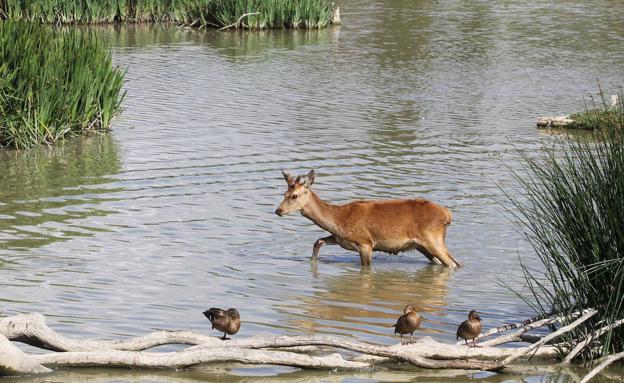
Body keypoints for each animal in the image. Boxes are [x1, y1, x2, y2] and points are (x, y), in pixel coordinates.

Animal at [276, 170, 460, 268]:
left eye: (294, 195)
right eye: (284, 193)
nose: (278, 210)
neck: (338, 220)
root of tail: (447, 214)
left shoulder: (365, 243)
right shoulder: (340, 239)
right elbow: (318, 242)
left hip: (433, 239)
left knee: (453, 263)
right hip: (422, 245)